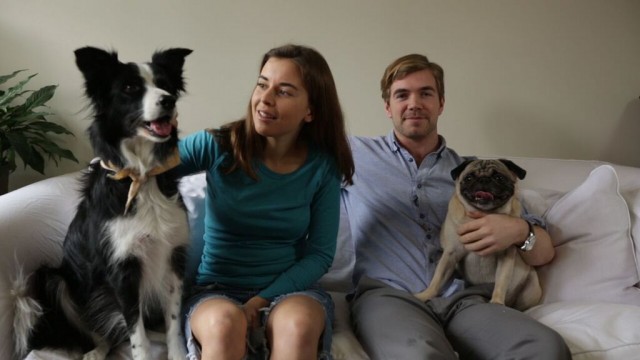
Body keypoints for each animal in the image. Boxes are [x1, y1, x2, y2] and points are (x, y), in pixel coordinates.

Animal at [12, 46, 191, 358]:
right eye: (130, 88)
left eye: (166, 84)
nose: (168, 101)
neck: (141, 176)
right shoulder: (122, 269)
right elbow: (137, 335)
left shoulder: (173, 256)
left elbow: (172, 324)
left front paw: (179, 353)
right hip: (54, 280)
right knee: (101, 332)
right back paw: (95, 351)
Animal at [418, 159, 544, 310]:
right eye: (469, 178)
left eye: (499, 177)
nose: (484, 179)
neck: (484, 214)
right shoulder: (450, 254)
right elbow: (437, 279)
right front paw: (425, 295)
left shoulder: (506, 256)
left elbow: (501, 281)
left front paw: (497, 301)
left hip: (531, 289)